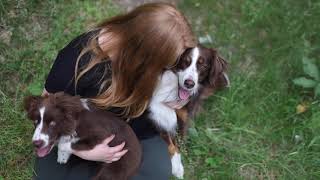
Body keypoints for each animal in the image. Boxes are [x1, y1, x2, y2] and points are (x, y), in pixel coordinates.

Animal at [149, 45, 229, 179]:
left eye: (204, 65)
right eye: (185, 61)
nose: (189, 84)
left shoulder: (184, 118)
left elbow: (178, 143)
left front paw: (178, 167)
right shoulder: (154, 116)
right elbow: (171, 143)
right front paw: (176, 167)